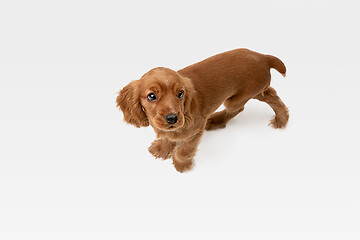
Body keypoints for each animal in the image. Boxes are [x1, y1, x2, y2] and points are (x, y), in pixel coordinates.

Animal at [116, 48, 288, 172]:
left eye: (180, 94)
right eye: (151, 96)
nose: (172, 118)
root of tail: (262, 57)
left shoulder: (197, 128)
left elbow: (184, 149)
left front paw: (182, 165)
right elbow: (167, 136)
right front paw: (163, 148)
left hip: (238, 98)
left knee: (241, 108)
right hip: (252, 92)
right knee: (271, 94)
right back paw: (282, 119)